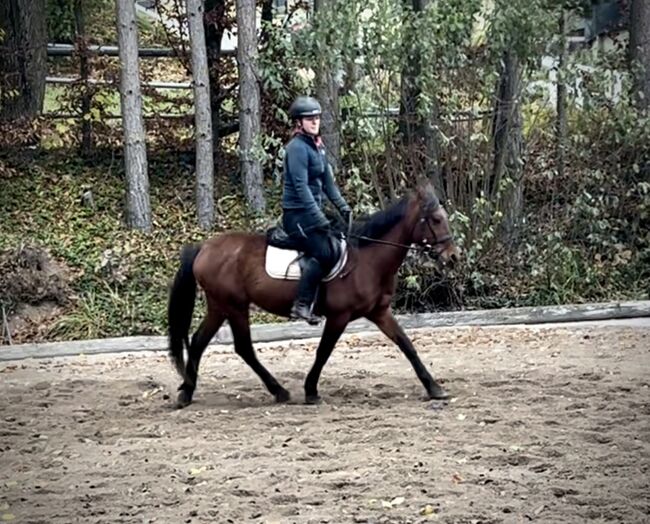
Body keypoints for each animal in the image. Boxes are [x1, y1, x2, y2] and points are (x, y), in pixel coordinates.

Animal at [168, 182, 460, 408]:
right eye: (435, 219)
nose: (453, 257)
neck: (367, 259)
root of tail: (204, 247)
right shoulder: (339, 316)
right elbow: (323, 351)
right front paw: (311, 391)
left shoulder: (379, 312)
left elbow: (406, 344)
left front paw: (434, 388)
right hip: (234, 305)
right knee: (244, 348)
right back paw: (278, 391)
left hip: (219, 306)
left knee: (198, 341)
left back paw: (187, 391)